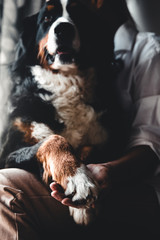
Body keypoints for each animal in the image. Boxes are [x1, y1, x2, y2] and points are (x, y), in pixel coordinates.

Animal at [0, 0, 115, 225]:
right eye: (47, 18)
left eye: (79, 15)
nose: (64, 29)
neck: (67, 81)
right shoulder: (9, 151)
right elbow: (53, 139)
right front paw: (77, 178)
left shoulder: (103, 140)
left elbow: (91, 150)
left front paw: (85, 205)